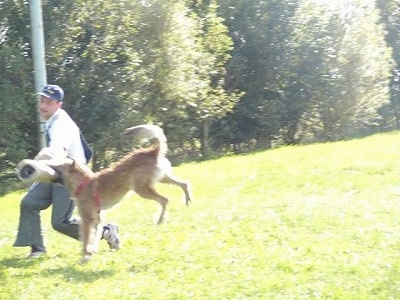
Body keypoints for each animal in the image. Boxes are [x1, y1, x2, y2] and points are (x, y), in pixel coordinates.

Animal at [49, 123, 191, 260]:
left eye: (59, 166)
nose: (49, 165)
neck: (83, 183)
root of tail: (152, 151)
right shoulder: (97, 219)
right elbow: (94, 239)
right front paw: (91, 254)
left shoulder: (87, 219)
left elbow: (86, 241)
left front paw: (84, 257)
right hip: (163, 179)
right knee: (184, 184)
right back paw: (187, 199)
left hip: (142, 189)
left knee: (165, 200)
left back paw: (161, 219)